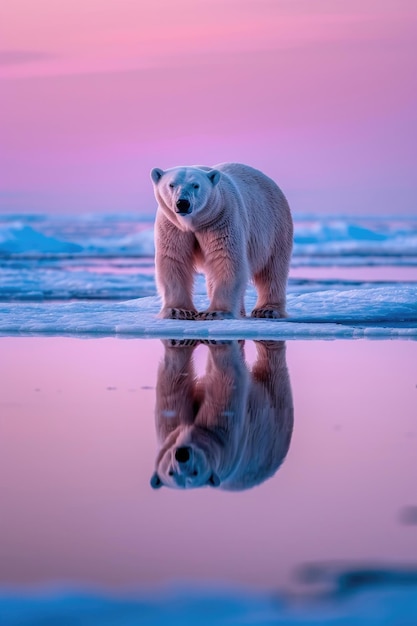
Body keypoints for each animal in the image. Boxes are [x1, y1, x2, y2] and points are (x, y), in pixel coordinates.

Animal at [150, 162, 292, 316]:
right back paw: (241, 312)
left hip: (275, 226)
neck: (193, 223)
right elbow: (174, 259)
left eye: (196, 185)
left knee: (273, 269)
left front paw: (215, 312)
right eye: (171, 184)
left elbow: (226, 259)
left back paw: (267, 310)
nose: (182, 203)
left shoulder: (221, 220)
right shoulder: (172, 226)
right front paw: (178, 311)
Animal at [150, 338, 292, 490]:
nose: (182, 455)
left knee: (273, 365)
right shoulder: (171, 429)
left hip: (275, 419)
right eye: (170, 472)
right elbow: (174, 384)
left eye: (195, 472)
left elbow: (226, 380)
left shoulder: (224, 436)